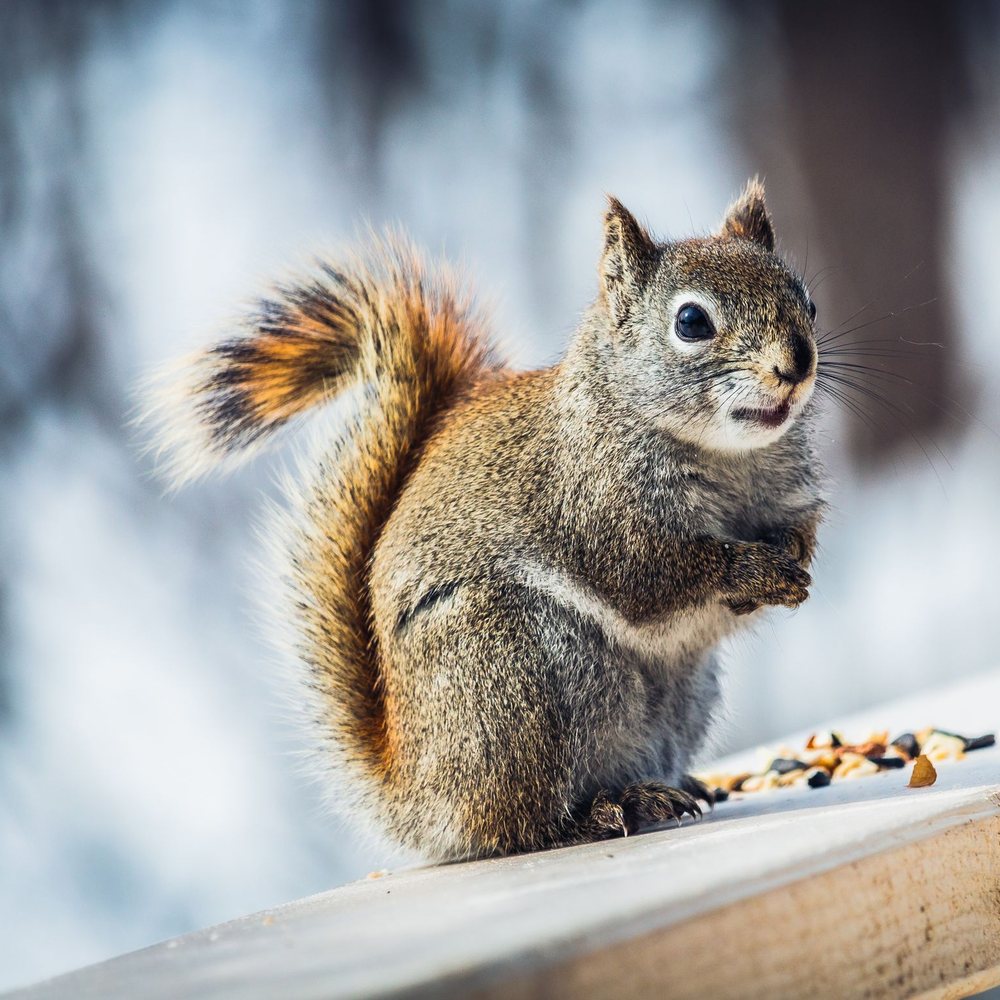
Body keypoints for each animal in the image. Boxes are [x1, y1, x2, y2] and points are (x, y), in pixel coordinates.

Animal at [151, 178, 824, 862]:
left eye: (808, 302)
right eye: (691, 322)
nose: (797, 364)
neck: (726, 456)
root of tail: (421, 792)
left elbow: (797, 529)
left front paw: (794, 556)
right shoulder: (591, 511)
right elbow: (651, 575)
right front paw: (753, 571)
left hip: (674, 695)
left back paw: (670, 789)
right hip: (511, 681)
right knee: (516, 827)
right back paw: (599, 815)